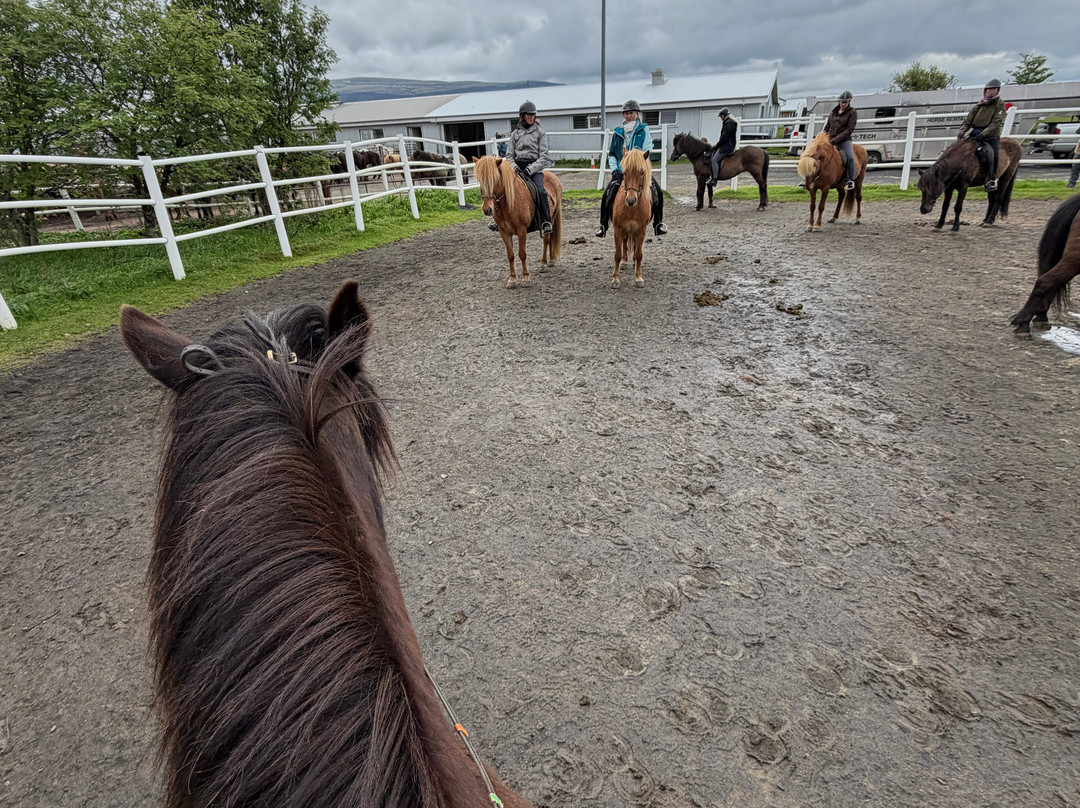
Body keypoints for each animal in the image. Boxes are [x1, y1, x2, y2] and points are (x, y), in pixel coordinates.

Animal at [472, 155, 562, 288]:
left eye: (495, 179)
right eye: (480, 180)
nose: (487, 209)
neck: (508, 203)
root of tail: (552, 175)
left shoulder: (521, 230)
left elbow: (522, 253)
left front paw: (526, 278)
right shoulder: (503, 231)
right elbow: (510, 255)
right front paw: (512, 279)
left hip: (552, 217)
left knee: (547, 239)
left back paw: (544, 263)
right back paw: (550, 260)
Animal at [611, 149, 652, 287]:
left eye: (642, 172)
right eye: (624, 172)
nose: (630, 200)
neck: (632, 209)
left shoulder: (641, 230)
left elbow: (639, 254)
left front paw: (638, 277)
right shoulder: (618, 229)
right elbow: (617, 255)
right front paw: (615, 279)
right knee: (625, 243)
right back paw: (624, 263)